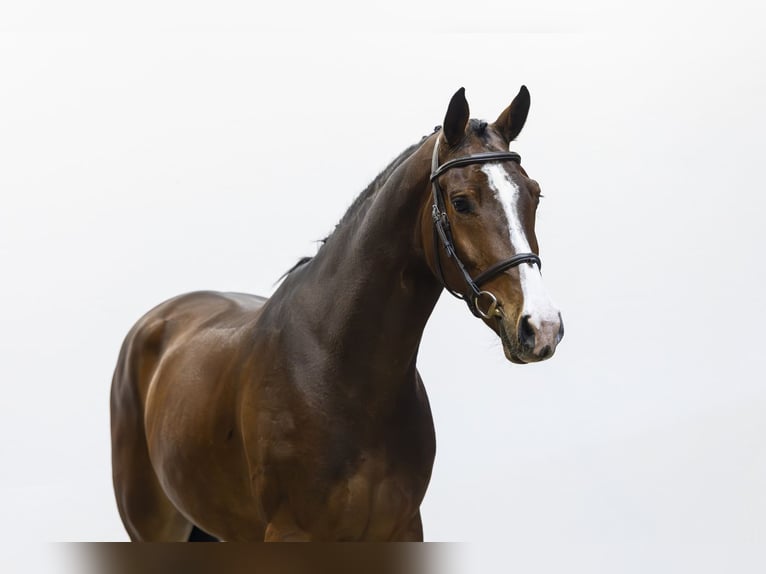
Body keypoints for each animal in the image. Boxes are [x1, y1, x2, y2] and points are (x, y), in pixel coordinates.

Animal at [110, 86, 564, 542]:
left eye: (534, 194)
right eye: (461, 202)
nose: (541, 327)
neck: (339, 372)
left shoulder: (402, 528)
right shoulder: (291, 532)